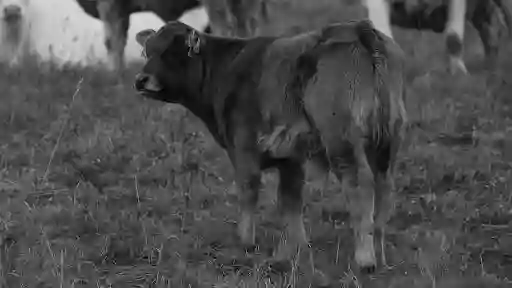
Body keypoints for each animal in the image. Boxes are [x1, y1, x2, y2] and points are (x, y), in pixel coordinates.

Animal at [132, 19, 408, 272]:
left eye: (171, 53)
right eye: (147, 51)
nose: (141, 80)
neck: (227, 69)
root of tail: (359, 29)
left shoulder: (244, 149)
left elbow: (248, 191)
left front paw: (245, 241)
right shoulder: (291, 158)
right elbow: (290, 200)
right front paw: (293, 249)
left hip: (341, 141)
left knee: (359, 185)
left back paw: (365, 259)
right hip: (387, 142)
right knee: (384, 186)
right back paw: (379, 252)